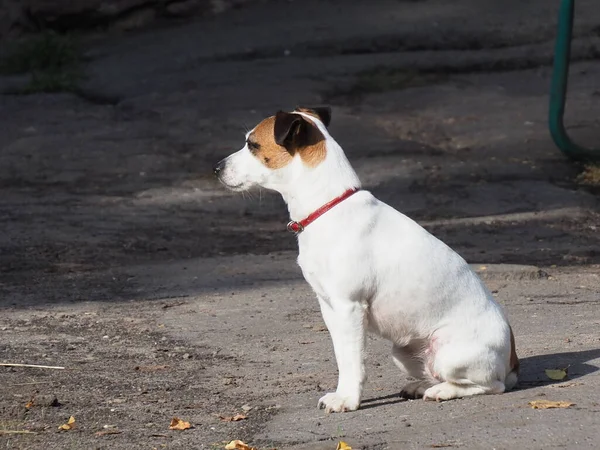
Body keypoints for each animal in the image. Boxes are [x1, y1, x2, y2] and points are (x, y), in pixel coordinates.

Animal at [213, 105, 516, 412]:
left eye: (252, 144)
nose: (216, 168)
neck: (329, 206)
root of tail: (511, 361)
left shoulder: (349, 307)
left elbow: (353, 361)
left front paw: (347, 399)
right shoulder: (330, 307)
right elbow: (342, 357)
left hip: (451, 355)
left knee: (490, 386)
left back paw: (442, 391)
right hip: (403, 353)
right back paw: (423, 386)